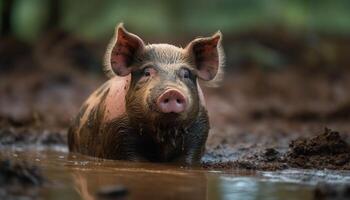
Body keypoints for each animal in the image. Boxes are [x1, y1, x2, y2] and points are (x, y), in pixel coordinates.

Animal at [68, 22, 224, 165]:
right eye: (147, 72)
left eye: (186, 74)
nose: (172, 91)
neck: (163, 134)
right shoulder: (118, 134)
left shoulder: (199, 133)